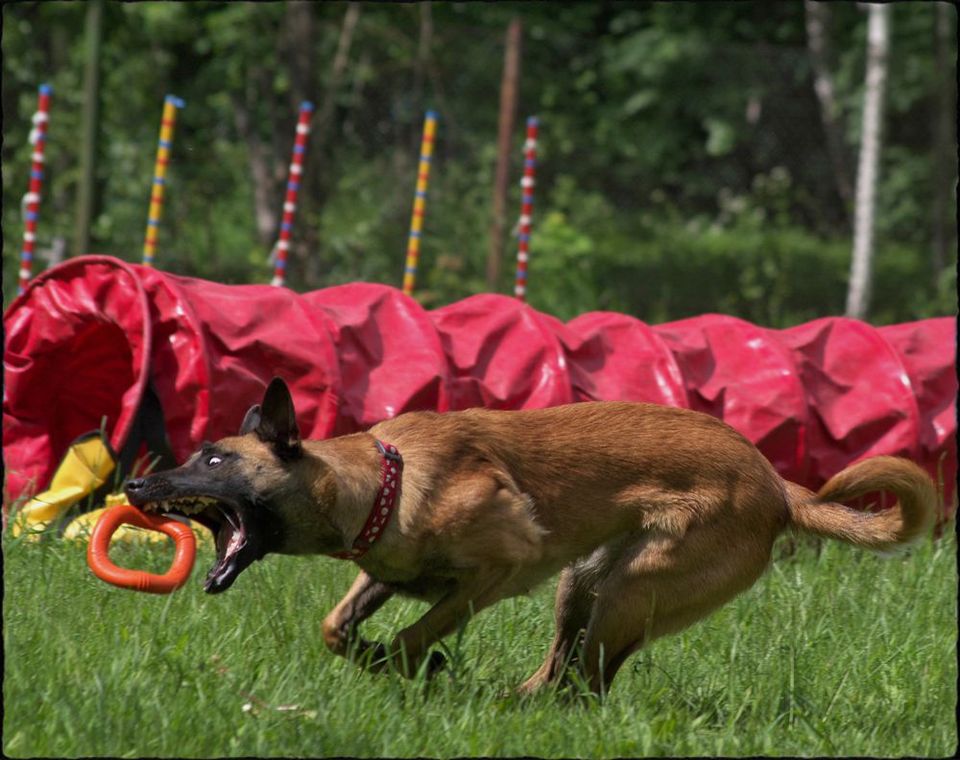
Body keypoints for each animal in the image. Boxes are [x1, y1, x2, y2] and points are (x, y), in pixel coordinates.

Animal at [122, 378, 936, 692]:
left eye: (215, 459)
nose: (135, 487)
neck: (382, 482)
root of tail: (775, 485)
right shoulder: (385, 569)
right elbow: (336, 625)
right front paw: (378, 655)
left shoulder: (502, 569)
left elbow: (416, 635)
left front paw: (418, 668)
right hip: (585, 584)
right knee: (567, 676)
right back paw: (512, 701)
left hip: (631, 585)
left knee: (586, 683)